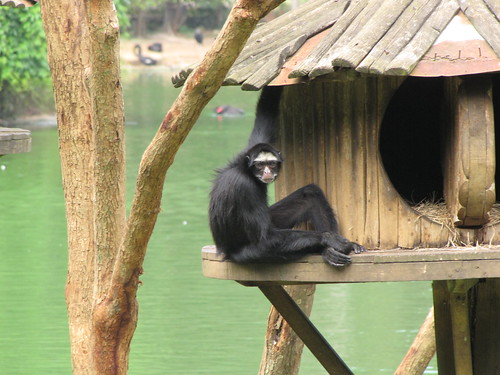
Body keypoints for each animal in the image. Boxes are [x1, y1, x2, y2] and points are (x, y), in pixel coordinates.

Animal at [209, 86, 366, 268]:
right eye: (260, 166)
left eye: (271, 163)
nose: (267, 172)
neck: (244, 170)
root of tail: (224, 251)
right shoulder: (244, 187)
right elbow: (265, 239)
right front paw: (330, 239)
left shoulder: (247, 152)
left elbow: (264, 118)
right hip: (246, 254)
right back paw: (328, 249)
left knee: (310, 193)